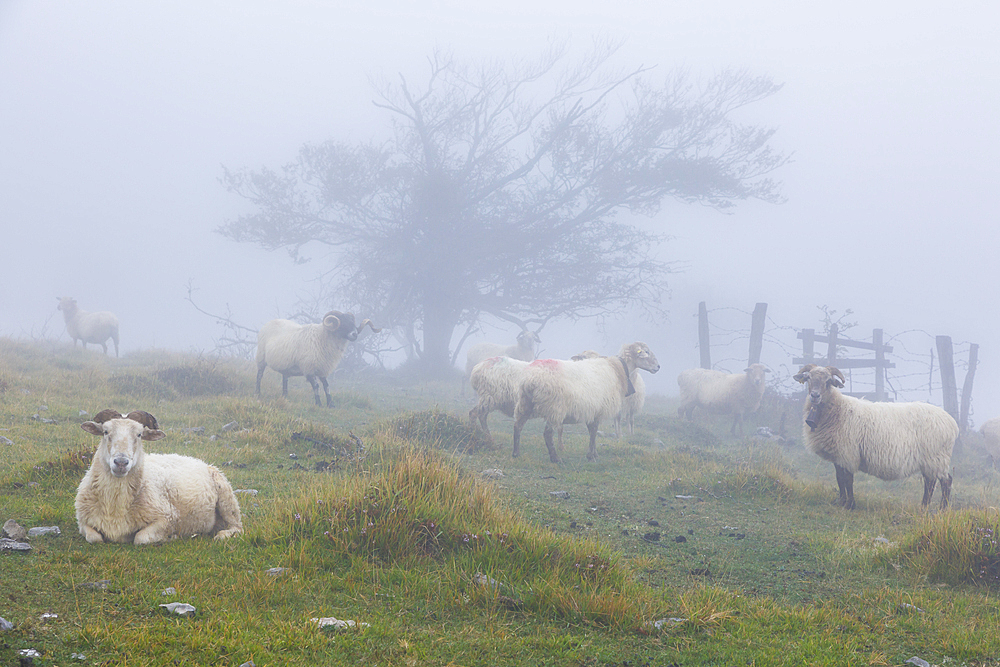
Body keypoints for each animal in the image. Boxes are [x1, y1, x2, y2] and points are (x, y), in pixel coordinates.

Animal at [74, 410, 244, 544]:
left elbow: (140, 538)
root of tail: (200, 461)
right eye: (105, 432)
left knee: (238, 527)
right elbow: (94, 538)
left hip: (227, 499)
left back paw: (223, 535)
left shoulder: (167, 518)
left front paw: (170, 537)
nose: (121, 462)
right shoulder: (83, 521)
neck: (115, 506)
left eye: (139, 434)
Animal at [512, 342, 660, 462]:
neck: (616, 369)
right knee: (547, 434)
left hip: (525, 403)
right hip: (554, 407)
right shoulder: (599, 408)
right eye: (646, 351)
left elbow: (591, 431)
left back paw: (516, 453)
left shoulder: (594, 410)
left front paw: (594, 454)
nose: (658, 367)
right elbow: (593, 432)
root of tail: (532, 379)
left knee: (517, 426)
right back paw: (555, 458)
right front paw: (591, 456)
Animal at [792, 366, 956, 512]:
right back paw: (924, 507)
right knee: (930, 482)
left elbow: (848, 480)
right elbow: (839, 479)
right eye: (808, 378)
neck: (837, 408)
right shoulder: (838, 455)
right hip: (930, 459)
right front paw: (842, 501)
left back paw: (942, 509)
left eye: (828, 381)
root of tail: (952, 423)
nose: (815, 395)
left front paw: (850, 505)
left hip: (936, 457)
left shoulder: (848, 453)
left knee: (945, 481)